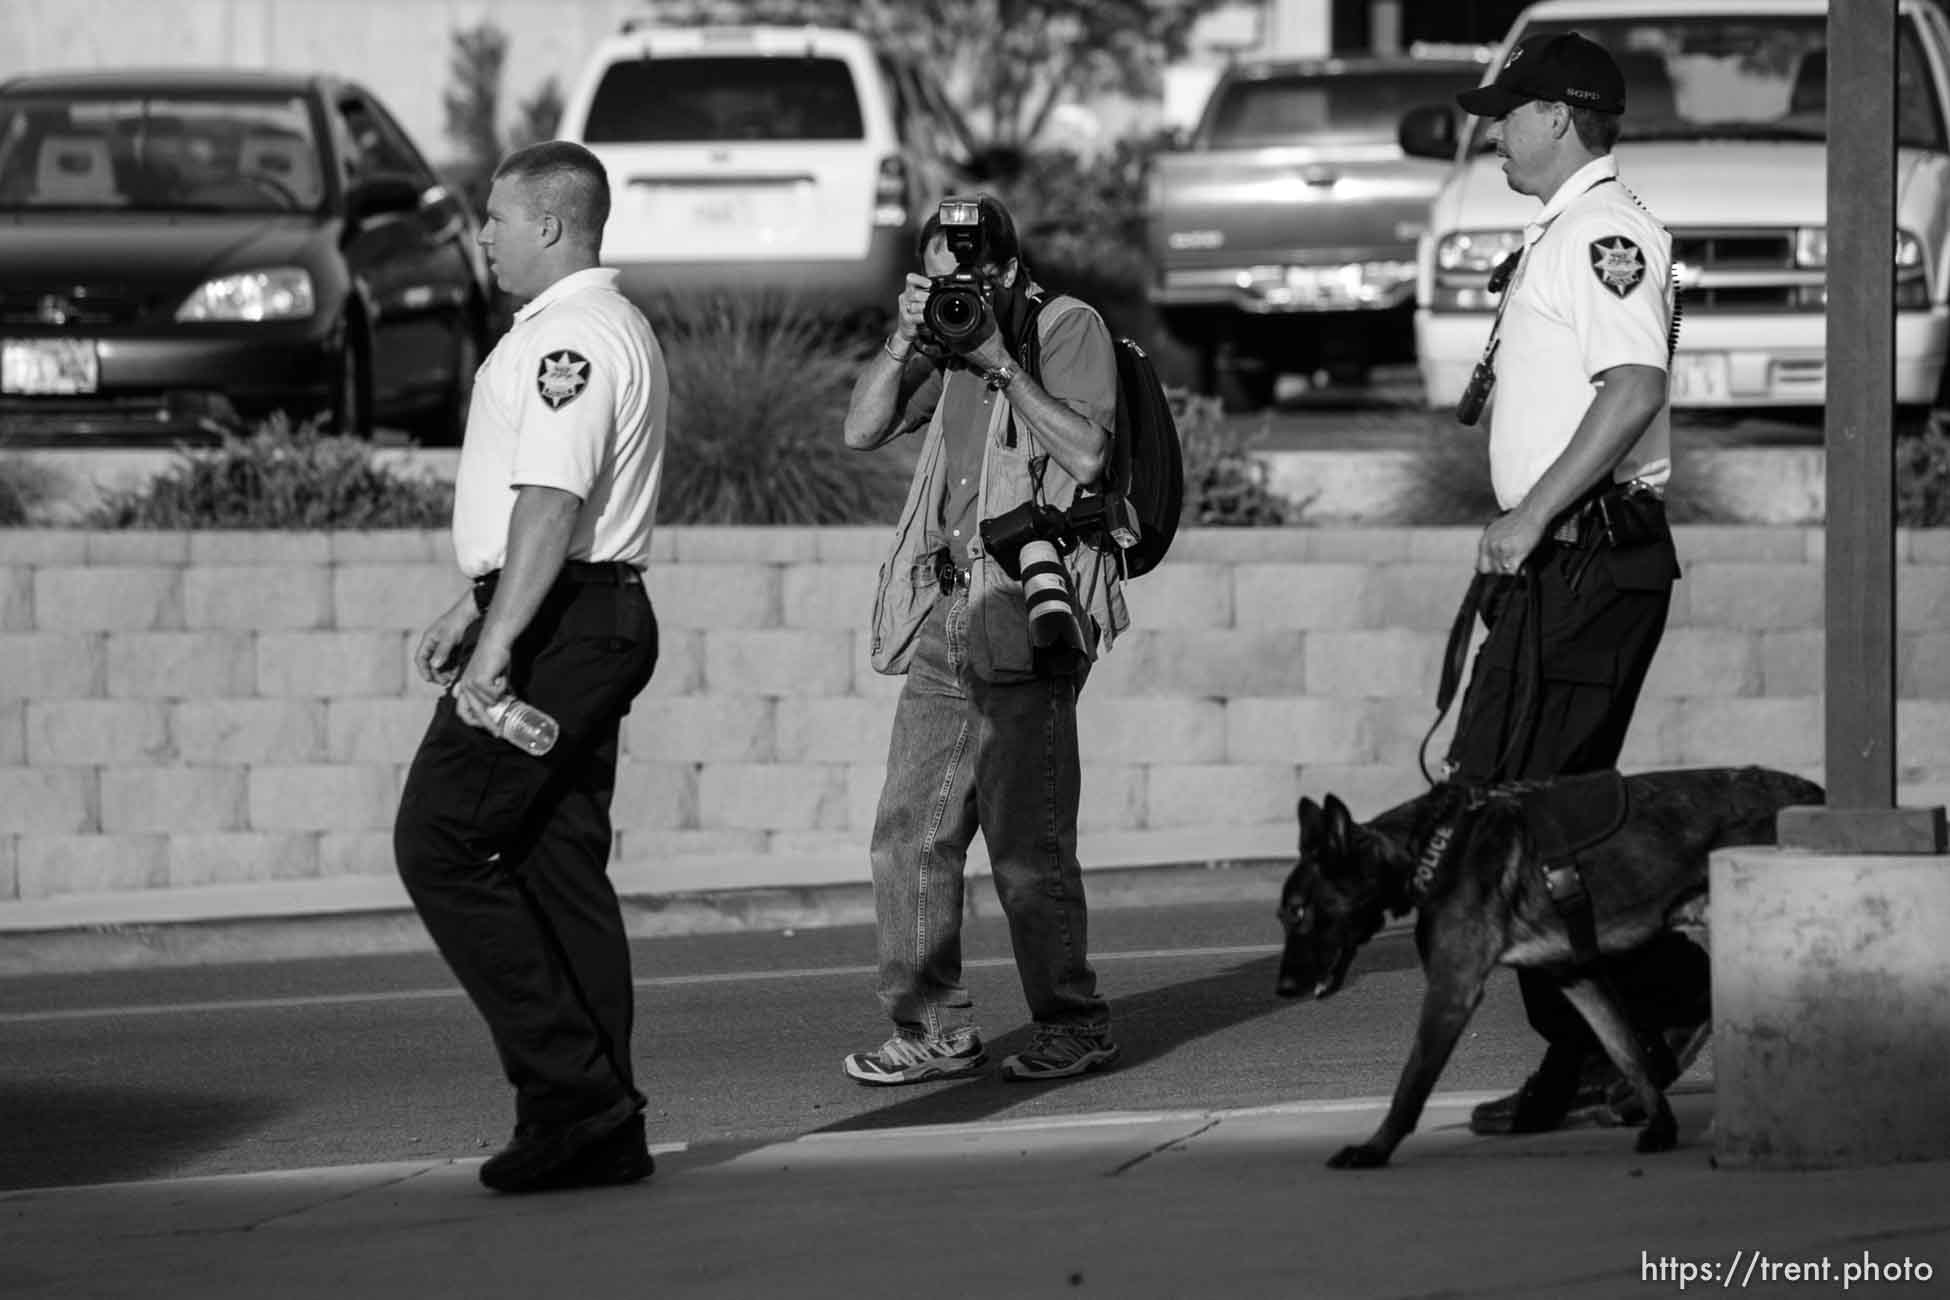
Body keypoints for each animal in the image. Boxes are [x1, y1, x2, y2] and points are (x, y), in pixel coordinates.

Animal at [1271, 767, 1817, 1177]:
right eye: (1283, 916)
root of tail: (1816, 794)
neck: (1430, 848)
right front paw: (1661, 1127)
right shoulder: (1577, 976)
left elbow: (1410, 1087)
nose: (1282, 988)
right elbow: (1627, 1053)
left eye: (1298, 913)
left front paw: (1374, 1150)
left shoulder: (1452, 990)